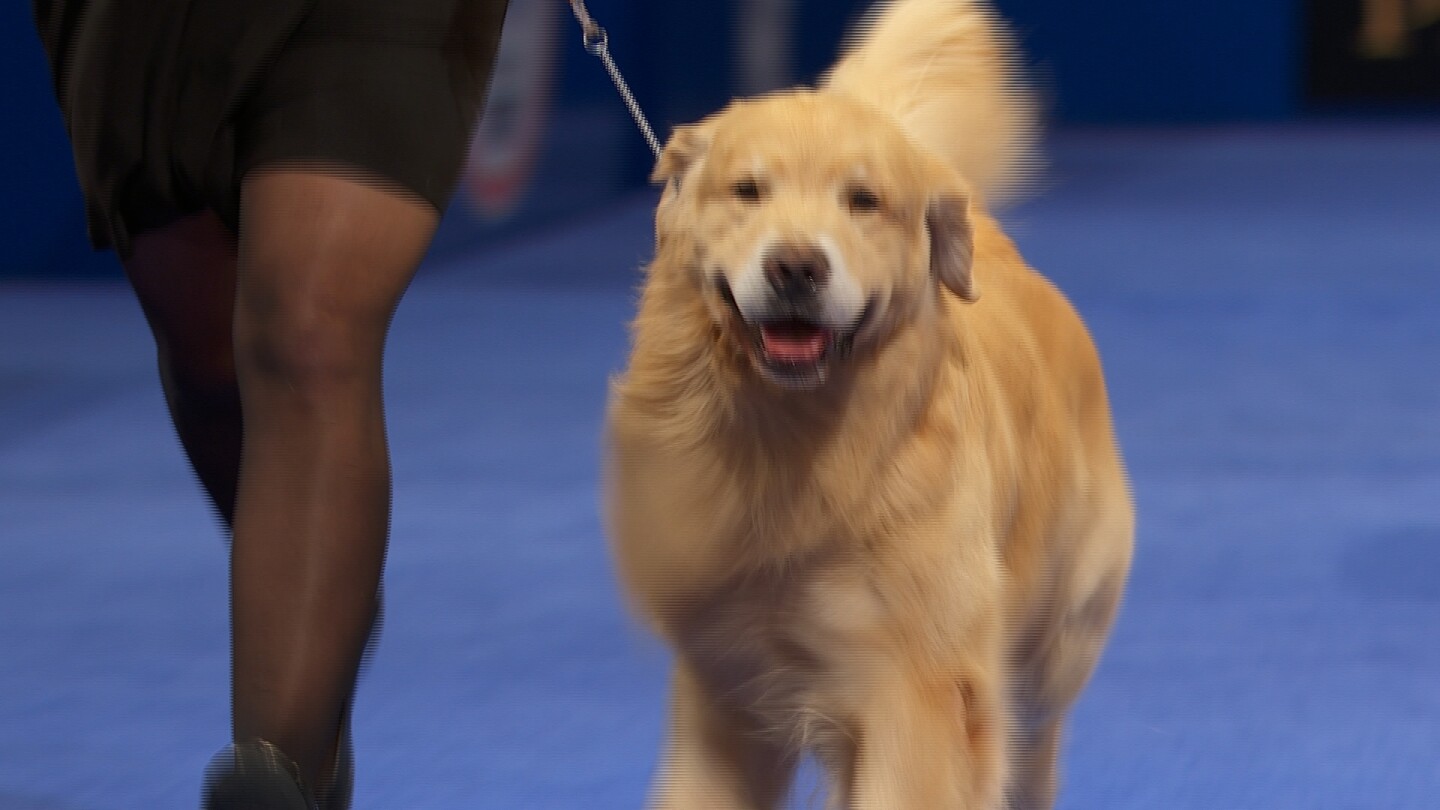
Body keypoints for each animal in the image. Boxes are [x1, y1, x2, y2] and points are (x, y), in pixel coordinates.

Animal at [601, 3, 1128, 801]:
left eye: (864, 201)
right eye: (748, 191)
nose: (795, 266)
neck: (796, 443)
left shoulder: (918, 689)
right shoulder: (726, 688)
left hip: (1049, 651)